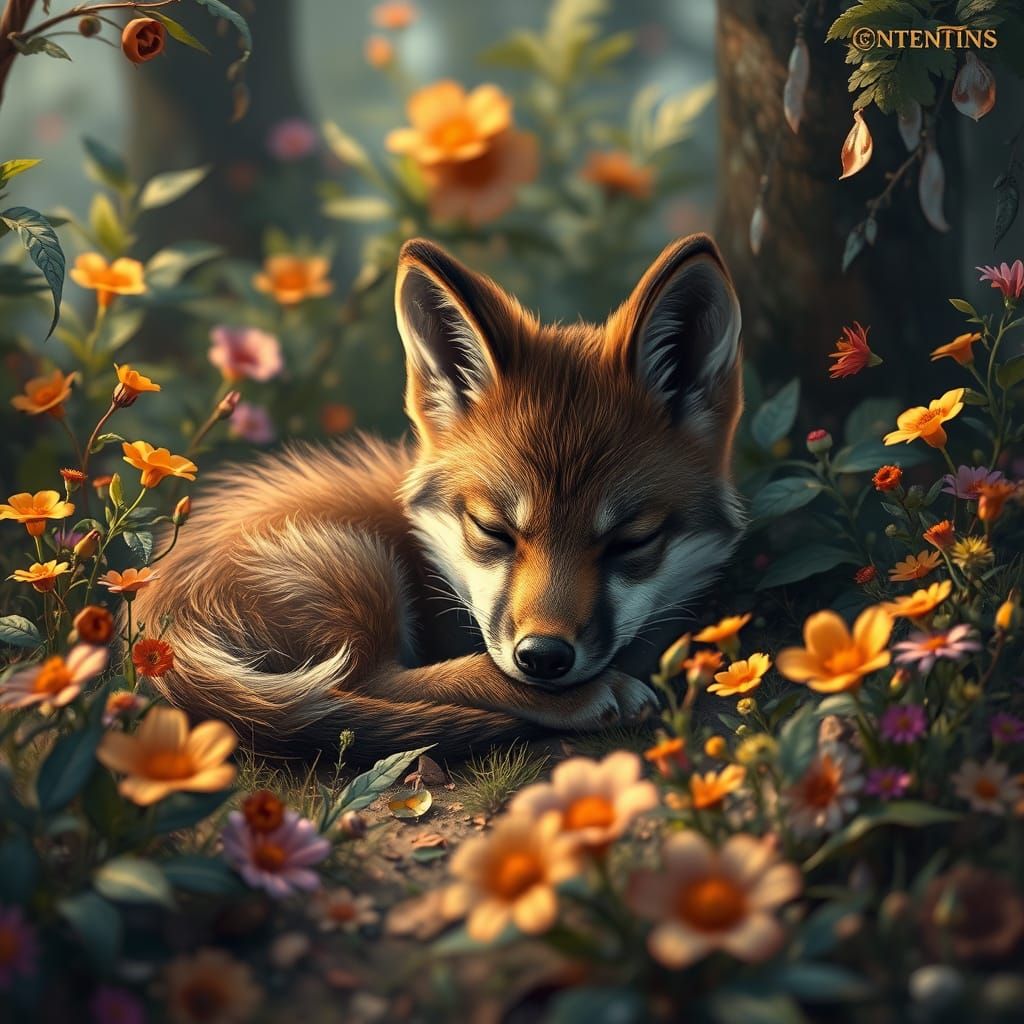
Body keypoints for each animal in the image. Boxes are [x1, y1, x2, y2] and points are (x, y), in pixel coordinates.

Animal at [133, 233, 745, 760]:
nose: (543, 658)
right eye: (493, 529)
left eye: (631, 541)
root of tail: (155, 616)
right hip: (362, 570)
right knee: (367, 686)